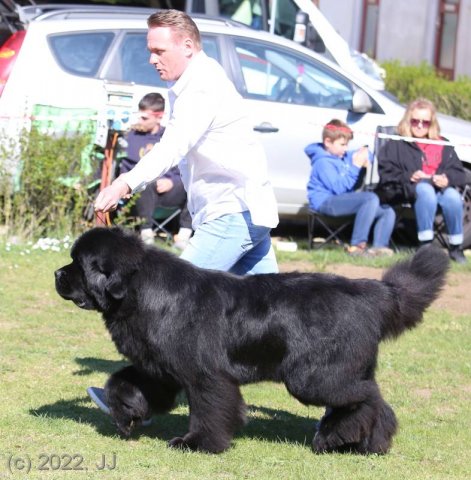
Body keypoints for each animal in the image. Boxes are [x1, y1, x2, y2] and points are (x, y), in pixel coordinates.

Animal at [55, 228, 450, 454]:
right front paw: (127, 416)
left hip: (311, 376)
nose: (57, 273)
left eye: (78, 263)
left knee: (369, 398)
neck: (140, 292)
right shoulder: (160, 367)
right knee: (370, 402)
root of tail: (371, 291)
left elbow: (209, 411)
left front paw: (197, 444)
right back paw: (365, 443)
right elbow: (121, 382)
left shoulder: (205, 375)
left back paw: (339, 438)